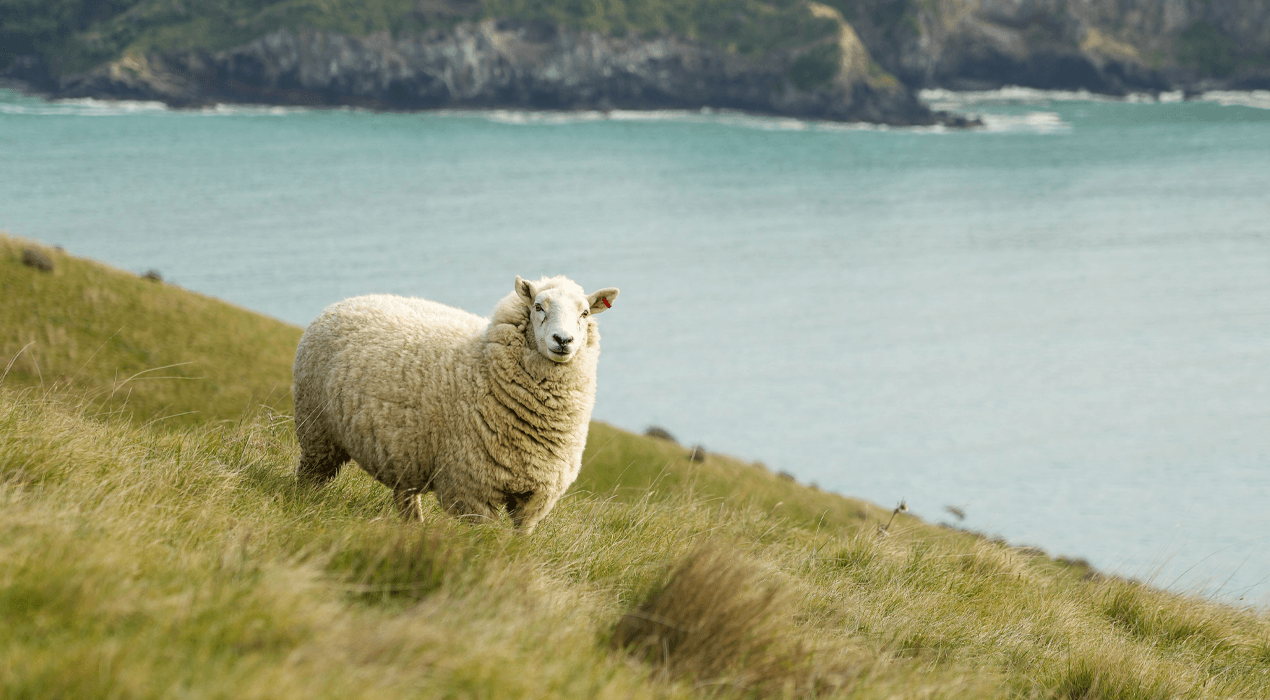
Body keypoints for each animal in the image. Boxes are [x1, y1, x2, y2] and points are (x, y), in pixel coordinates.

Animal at [292, 275, 619, 533]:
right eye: (538, 307)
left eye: (585, 312)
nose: (563, 340)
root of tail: (344, 302)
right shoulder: (472, 489)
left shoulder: (536, 498)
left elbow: (520, 538)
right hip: (317, 429)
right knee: (309, 476)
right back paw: (304, 504)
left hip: (403, 451)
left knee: (405, 497)